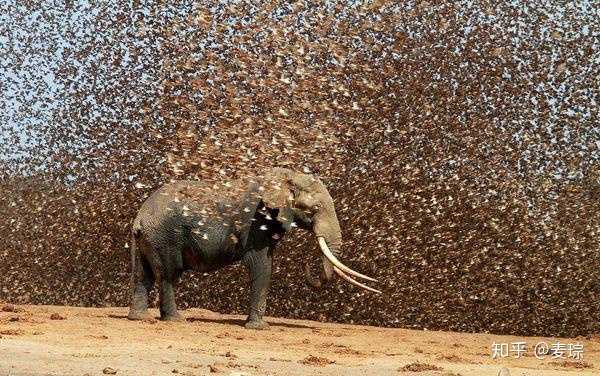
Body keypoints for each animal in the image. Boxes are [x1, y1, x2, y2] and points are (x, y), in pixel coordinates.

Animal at [126, 167, 380, 328]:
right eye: (314, 209)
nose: (309, 269)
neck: (284, 178)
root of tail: (140, 217)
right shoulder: (256, 224)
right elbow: (262, 266)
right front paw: (260, 327)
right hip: (165, 237)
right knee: (168, 274)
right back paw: (176, 320)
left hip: (148, 240)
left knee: (143, 275)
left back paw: (138, 318)